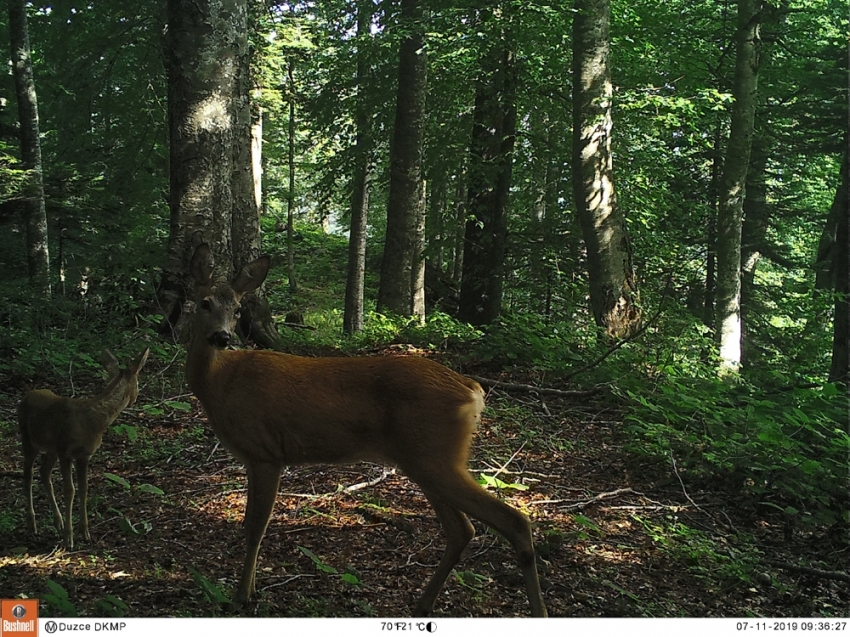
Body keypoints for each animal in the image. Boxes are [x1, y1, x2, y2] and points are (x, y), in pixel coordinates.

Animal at [19, 346, 150, 548]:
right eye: (138, 382)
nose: (136, 398)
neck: (93, 421)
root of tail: (26, 396)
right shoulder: (65, 451)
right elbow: (69, 490)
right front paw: (69, 538)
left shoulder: (84, 454)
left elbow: (84, 488)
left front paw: (85, 533)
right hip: (28, 439)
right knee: (28, 477)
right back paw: (32, 525)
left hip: (51, 449)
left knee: (44, 472)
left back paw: (57, 522)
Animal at [184, 243, 548, 616]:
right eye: (205, 303)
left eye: (237, 309)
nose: (222, 337)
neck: (220, 383)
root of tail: (472, 389)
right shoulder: (253, 459)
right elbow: (250, 524)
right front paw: (250, 588)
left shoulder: (265, 453)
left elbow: (255, 526)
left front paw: (242, 595)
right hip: (428, 460)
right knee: (462, 529)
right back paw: (422, 604)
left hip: (433, 455)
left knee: (513, 521)